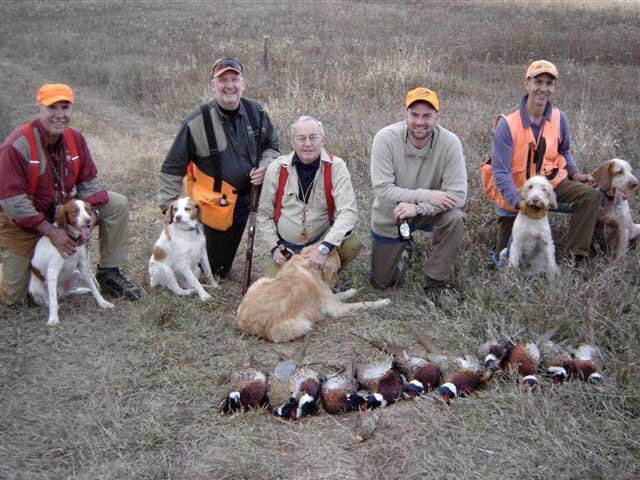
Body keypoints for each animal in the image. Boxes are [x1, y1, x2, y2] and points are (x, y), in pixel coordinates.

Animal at [236, 246, 390, 344]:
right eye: (336, 270)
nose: (336, 285)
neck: (307, 262)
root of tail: (245, 324)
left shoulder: (329, 297)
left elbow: (341, 295)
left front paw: (351, 291)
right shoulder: (336, 308)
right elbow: (364, 304)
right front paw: (383, 301)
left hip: (261, 282)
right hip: (303, 324)